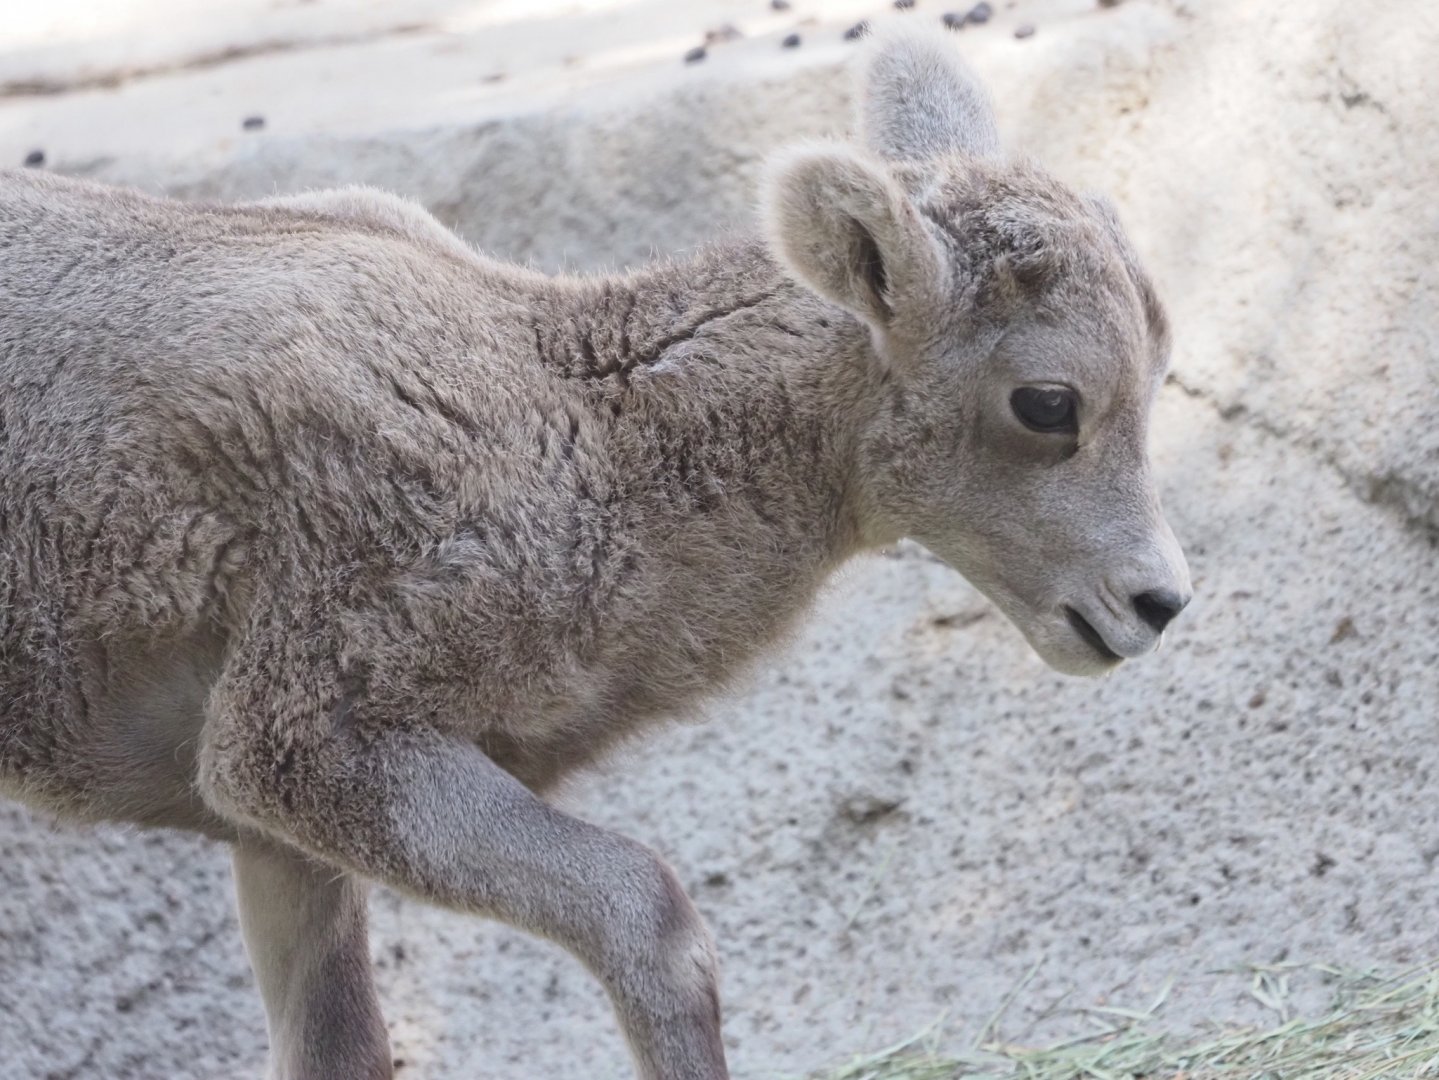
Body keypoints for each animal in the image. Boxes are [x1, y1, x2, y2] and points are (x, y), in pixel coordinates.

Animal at [0, 28, 1190, 1080]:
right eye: (1046, 402)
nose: (1155, 602)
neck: (590, 441)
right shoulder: (307, 740)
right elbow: (650, 916)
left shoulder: (280, 835)